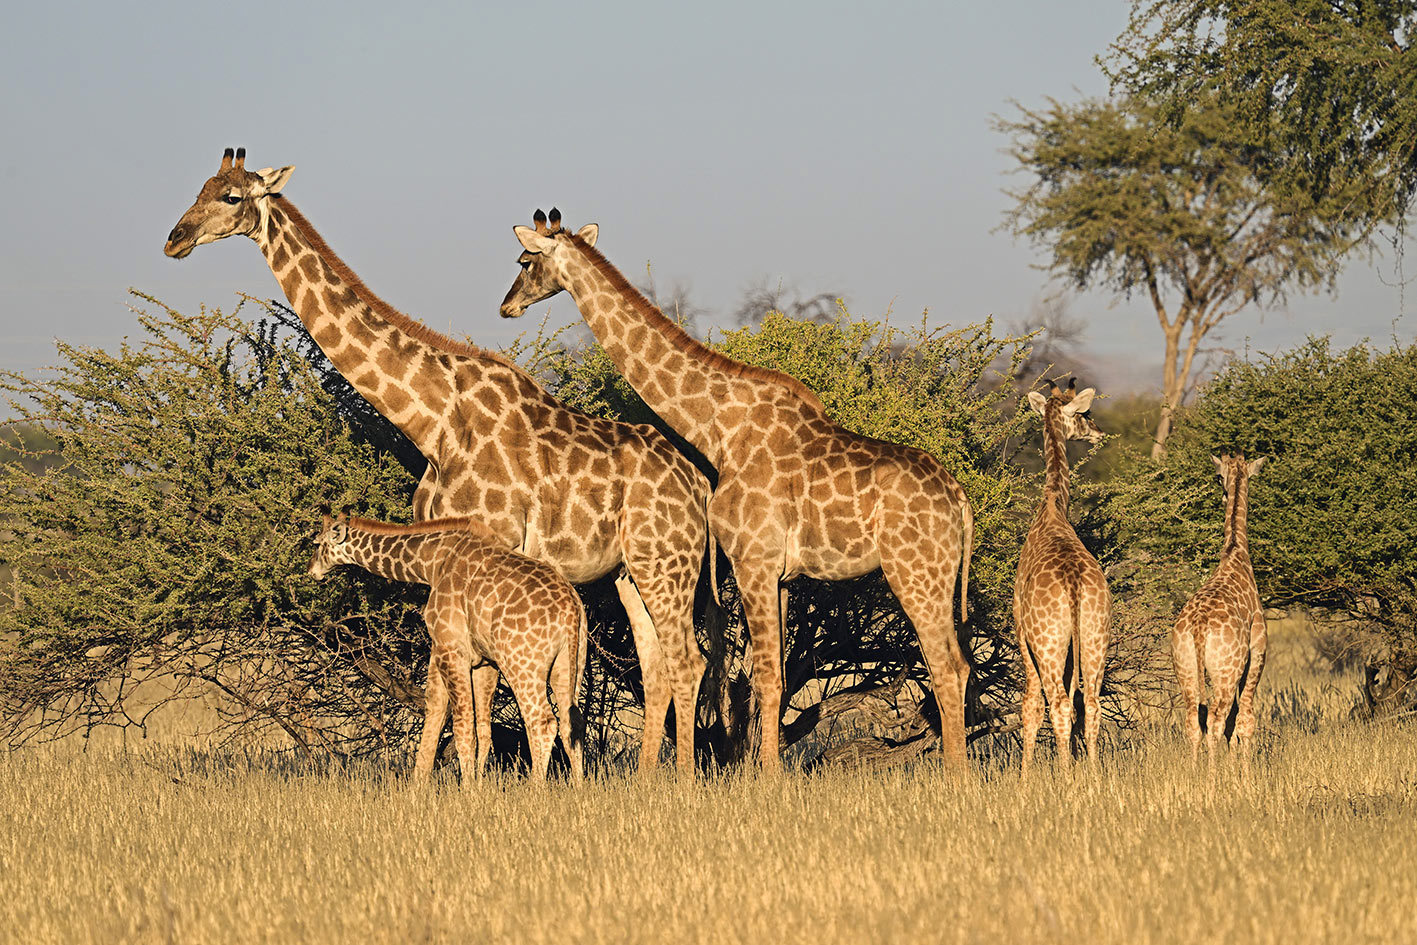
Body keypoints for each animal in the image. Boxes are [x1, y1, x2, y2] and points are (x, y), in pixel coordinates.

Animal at [309, 514, 586, 781]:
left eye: (317, 543)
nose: (312, 570)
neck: (431, 563)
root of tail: (571, 610)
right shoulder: (481, 660)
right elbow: (470, 724)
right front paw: (449, 786)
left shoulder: (450, 648)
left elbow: (461, 725)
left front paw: (467, 790)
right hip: (570, 662)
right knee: (573, 721)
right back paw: (578, 786)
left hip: (522, 663)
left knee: (542, 721)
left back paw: (536, 787)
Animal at [499, 209, 975, 770]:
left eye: (524, 261)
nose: (506, 305)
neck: (717, 428)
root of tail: (960, 499)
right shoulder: (782, 574)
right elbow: (776, 676)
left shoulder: (753, 560)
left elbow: (766, 677)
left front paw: (767, 776)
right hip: (936, 575)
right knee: (961, 665)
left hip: (915, 571)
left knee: (945, 667)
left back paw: (954, 775)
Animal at [1172, 452, 1267, 763]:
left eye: (1219, 477)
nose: (1224, 492)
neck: (1236, 552)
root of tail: (1199, 628)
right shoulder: (1257, 651)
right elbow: (1245, 720)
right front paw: (1244, 771)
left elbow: (1232, 725)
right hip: (1226, 672)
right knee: (1215, 720)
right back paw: (1214, 774)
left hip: (1186, 668)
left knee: (1193, 722)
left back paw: (1194, 771)